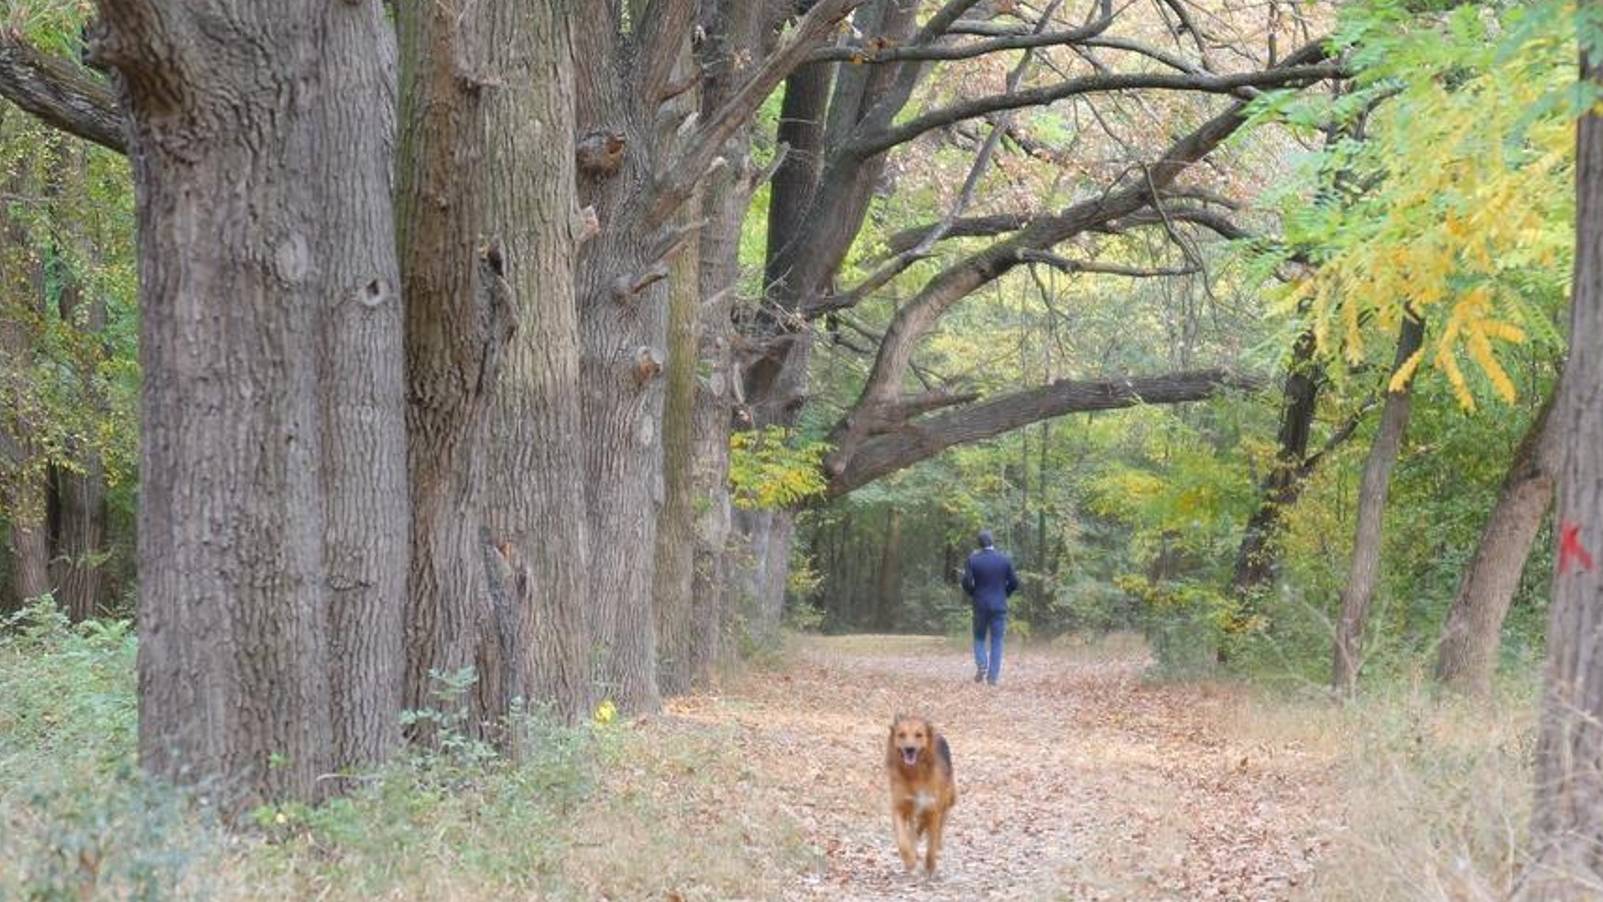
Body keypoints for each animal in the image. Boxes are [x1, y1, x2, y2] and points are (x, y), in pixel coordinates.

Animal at [884, 714, 955, 877]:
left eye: (919, 735)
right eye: (901, 735)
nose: (909, 749)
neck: (915, 775)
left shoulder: (933, 809)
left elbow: (931, 844)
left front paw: (930, 866)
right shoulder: (900, 807)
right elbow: (903, 841)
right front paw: (909, 861)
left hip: (948, 800)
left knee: (937, 827)